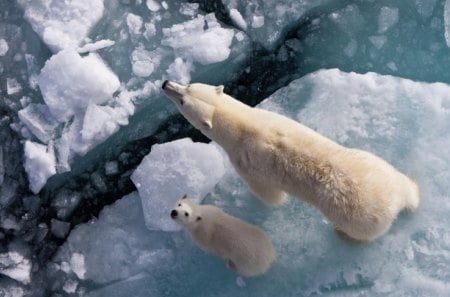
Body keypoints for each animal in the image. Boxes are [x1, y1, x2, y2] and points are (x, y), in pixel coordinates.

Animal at [163, 80, 420, 240]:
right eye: (188, 86)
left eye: (183, 100)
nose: (166, 84)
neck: (243, 125)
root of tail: (395, 200)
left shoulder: (245, 162)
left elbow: (269, 194)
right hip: (375, 163)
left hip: (358, 217)